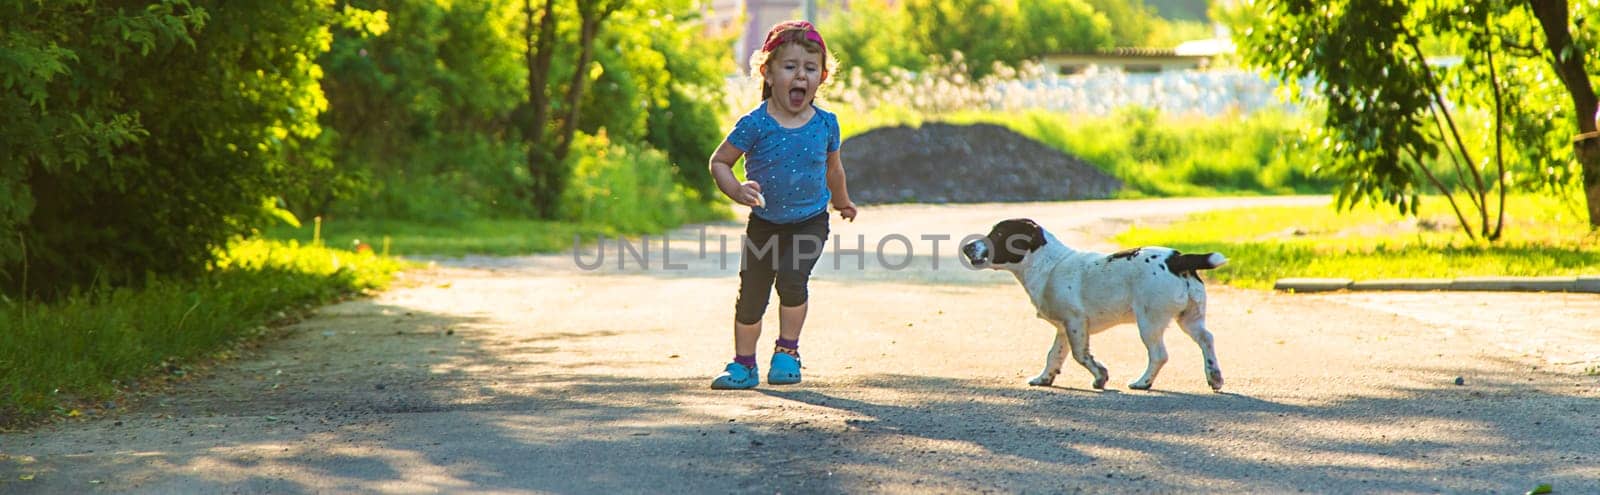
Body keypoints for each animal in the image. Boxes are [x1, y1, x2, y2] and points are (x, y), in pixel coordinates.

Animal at [953, 217, 1228, 390]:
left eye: (999, 234)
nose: (967, 247)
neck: (1046, 263)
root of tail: (1177, 259)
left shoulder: (1075, 322)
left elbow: (1080, 355)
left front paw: (1100, 376)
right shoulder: (1063, 328)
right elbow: (1054, 355)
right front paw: (1044, 378)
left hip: (1149, 322)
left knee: (1159, 355)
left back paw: (1143, 383)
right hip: (1190, 318)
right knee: (1207, 339)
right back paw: (1214, 376)